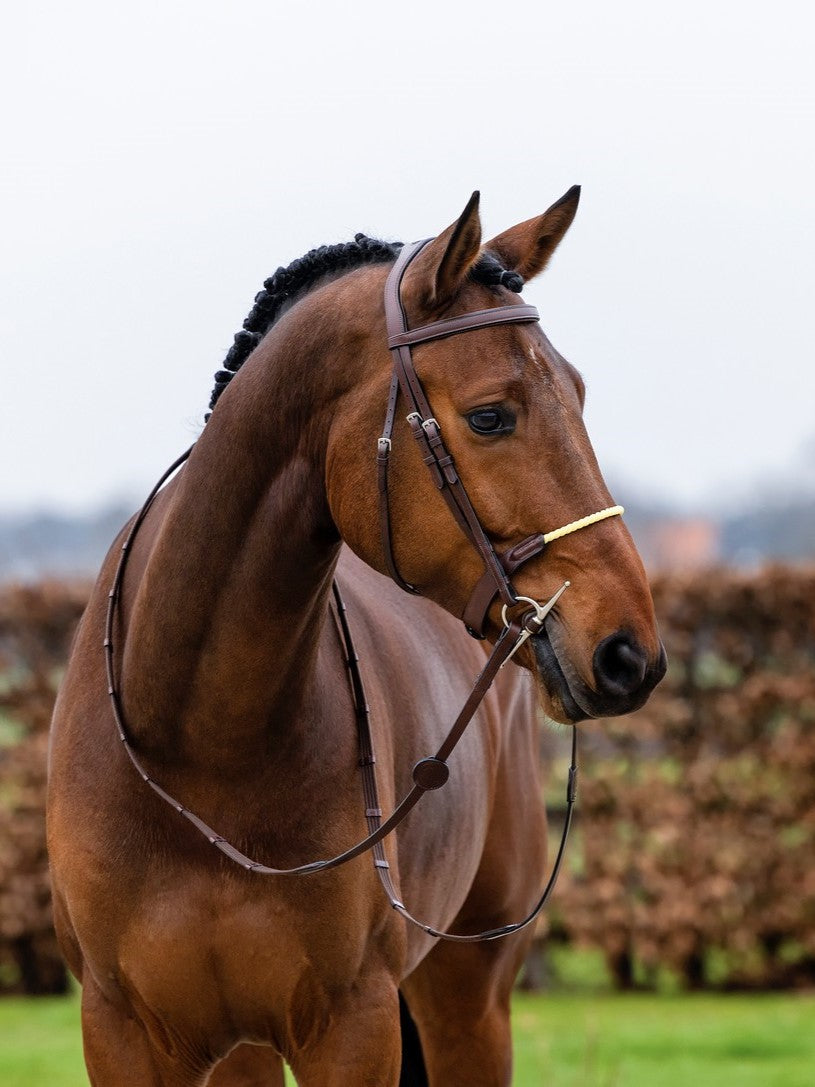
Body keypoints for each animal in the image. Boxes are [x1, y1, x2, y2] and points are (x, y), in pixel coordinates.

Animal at [47, 191, 665, 1082]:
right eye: (489, 416)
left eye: (578, 395)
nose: (627, 653)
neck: (199, 746)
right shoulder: (124, 1030)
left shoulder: (353, 1026)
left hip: (469, 995)